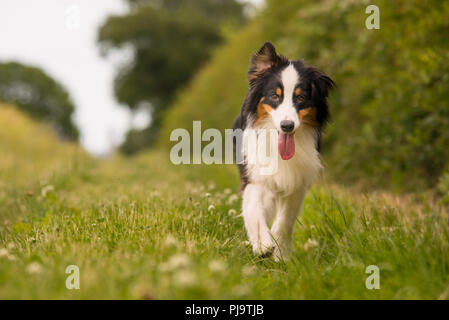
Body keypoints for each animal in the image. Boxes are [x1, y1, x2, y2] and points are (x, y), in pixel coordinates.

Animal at [234, 41, 332, 262]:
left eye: (301, 97)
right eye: (274, 96)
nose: (287, 126)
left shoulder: (298, 183)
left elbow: (285, 220)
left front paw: (280, 252)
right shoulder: (255, 177)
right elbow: (254, 209)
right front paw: (262, 244)